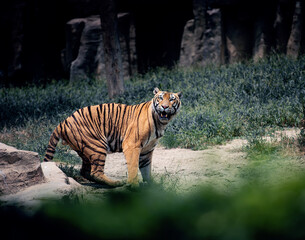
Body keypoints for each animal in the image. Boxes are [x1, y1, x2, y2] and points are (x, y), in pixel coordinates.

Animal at [42, 88, 180, 188]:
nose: (165, 107)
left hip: (86, 149)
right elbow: (133, 166)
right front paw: (134, 185)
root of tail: (63, 122)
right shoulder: (132, 145)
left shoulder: (147, 150)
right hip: (98, 145)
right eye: (160, 98)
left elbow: (146, 170)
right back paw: (116, 183)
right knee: (95, 172)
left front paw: (153, 185)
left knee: (85, 171)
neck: (160, 123)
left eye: (172, 100)